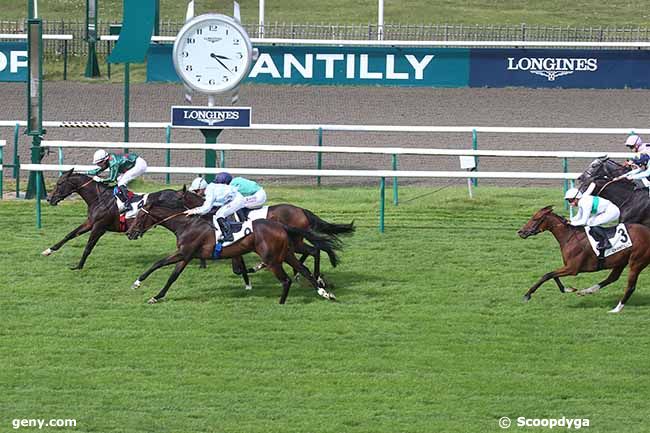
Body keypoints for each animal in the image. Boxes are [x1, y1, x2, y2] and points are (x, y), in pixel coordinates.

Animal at [125, 189, 340, 304]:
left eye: (141, 216)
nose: (130, 233)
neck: (187, 224)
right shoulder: (191, 255)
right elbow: (162, 267)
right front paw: (142, 286)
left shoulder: (185, 253)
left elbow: (168, 272)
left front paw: (151, 293)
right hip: (287, 251)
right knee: (305, 265)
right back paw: (323, 291)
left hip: (276, 256)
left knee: (293, 272)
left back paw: (285, 298)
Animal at [520, 204, 650, 312]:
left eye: (535, 218)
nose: (520, 232)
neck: (569, 237)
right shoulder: (568, 267)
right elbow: (553, 275)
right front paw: (569, 289)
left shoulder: (572, 269)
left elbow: (547, 275)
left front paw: (527, 295)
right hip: (621, 261)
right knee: (612, 278)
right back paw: (586, 291)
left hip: (636, 262)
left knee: (630, 287)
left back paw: (616, 309)